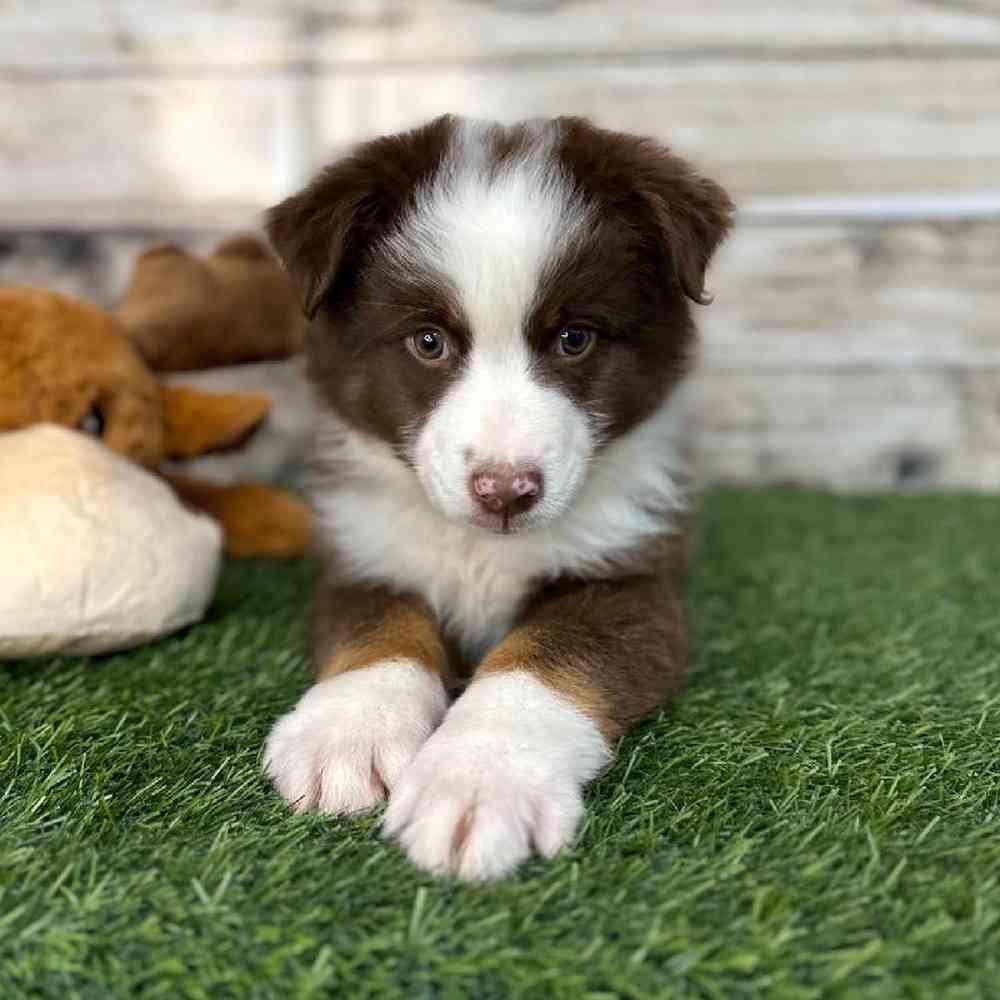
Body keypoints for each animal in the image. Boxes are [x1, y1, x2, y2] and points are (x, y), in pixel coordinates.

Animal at [264, 117, 736, 880]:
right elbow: (379, 634)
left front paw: (477, 785)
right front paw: (349, 733)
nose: (505, 493)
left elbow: (540, 661)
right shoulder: (365, 555)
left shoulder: (629, 580)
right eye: (428, 341)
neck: (479, 549)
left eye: (574, 338)